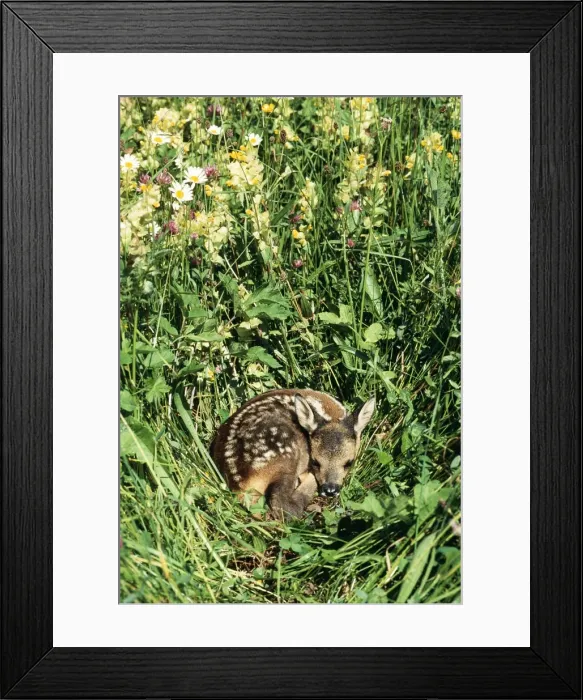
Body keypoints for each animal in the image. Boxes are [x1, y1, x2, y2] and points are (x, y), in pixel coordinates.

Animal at [211, 389, 375, 519]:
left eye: (349, 462)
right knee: (284, 506)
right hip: (285, 451)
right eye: (315, 461)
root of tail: (240, 484)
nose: (330, 490)